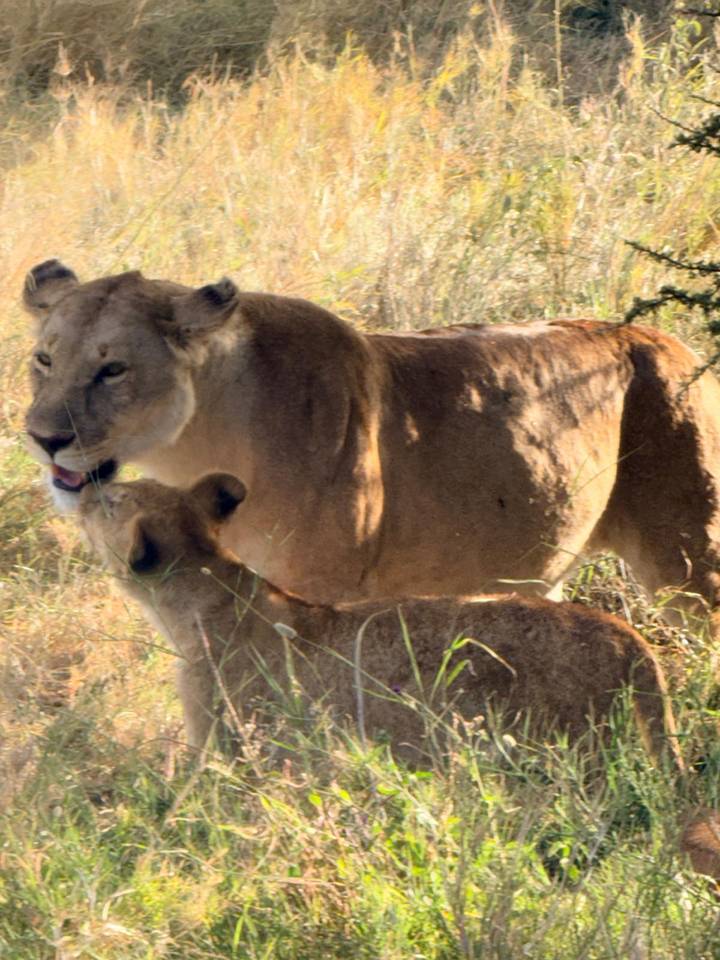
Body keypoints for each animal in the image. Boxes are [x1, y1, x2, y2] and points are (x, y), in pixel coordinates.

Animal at [24, 259, 720, 612]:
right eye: (45, 360)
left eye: (113, 369)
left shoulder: (324, 596)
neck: (198, 443)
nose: (42, 438)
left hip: (691, 563)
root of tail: (674, 343)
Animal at [78, 471, 720, 883]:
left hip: (574, 762)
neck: (200, 591)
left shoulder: (227, 748)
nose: (83, 488)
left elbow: (207, 816)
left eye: (112, 501)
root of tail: (625, 632)